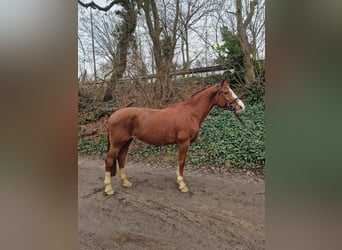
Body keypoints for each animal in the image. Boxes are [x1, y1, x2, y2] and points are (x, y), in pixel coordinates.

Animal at [103, 79, 244, 194]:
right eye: (226, 92)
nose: (241, 107)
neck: (189, 113)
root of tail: (112, 116)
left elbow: (179, 161)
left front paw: (178, 180)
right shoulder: (184, 142)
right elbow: (182, 161)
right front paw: (182, 185)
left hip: (126, 141)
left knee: (121, 159)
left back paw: (126, 183)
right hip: (117, 143)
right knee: (109, 160)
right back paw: (109, 188)